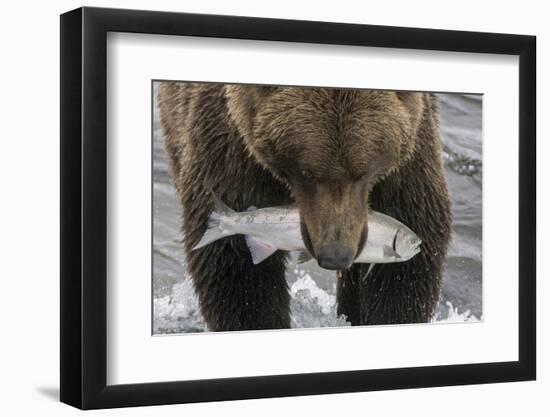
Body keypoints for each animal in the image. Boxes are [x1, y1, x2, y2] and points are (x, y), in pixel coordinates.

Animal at [156, 83, 452, 330]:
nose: (336, 255)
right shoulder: (231, 149)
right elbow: (236, 271)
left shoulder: (407, 166)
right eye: (307, 172)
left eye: (362, 173)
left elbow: (405, 274)